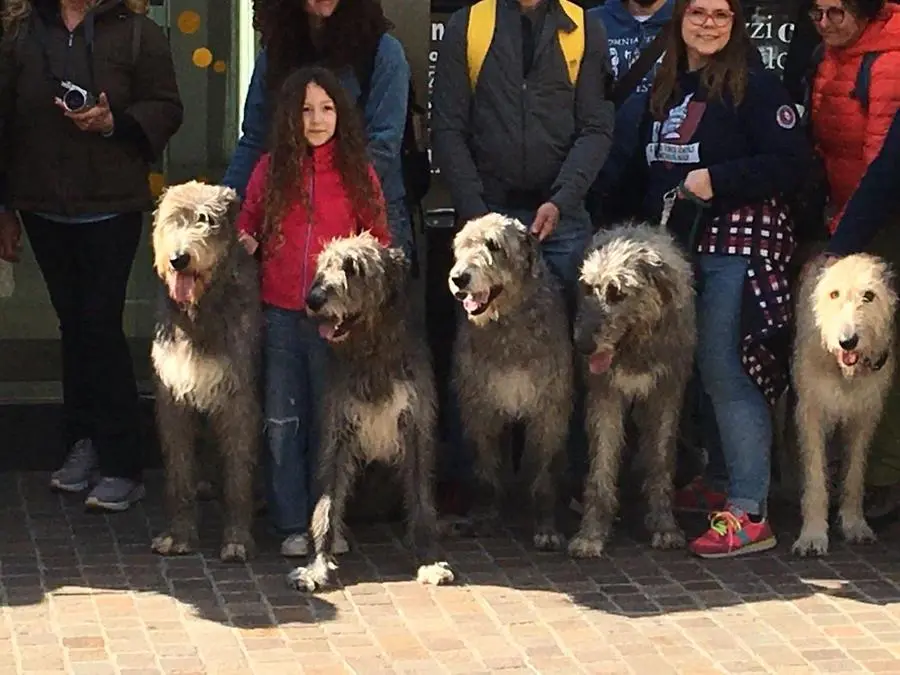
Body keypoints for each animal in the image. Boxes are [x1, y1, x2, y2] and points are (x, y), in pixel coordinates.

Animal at [148, 181, 260, 564]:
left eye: (205, 220)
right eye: (172, 220)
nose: (179, 259)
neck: (199, 313)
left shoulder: (239, 399)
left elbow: (239, 474)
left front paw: (237, 539)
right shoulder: (172, 398)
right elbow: (179, 470)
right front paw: (178, 535)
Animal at [290, 235, 458, 596]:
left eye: (353, 267)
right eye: (323, 264)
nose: (313, 299)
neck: (373, 352)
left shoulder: (417, 427)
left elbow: (421, 500)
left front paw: (429, 559)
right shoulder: (337, 430)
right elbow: (326, 505)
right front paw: (315, 567)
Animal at [448, 214, 572, 552]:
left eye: (494, 245)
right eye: (461, 245)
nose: (459, 278)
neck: (507, 324)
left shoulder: (549, 409)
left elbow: (544, 469)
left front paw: (546, 526)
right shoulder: (481, 405)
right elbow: (486, 465)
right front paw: (485, 516)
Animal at [568, 223, 696, 560]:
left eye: (617, 293)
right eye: (589, 288)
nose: (582, 346)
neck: (635, 347)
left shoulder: (666, 392)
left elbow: (661, 460)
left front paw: (664, 525)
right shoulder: (605, 395)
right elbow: (602, 462)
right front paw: (591, 533)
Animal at [792, 256, 896, 556]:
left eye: (869, 295)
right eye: (834, 294)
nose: (847, 341)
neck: (844, 371)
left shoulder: (865, 414)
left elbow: (855, 472)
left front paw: (854, 523)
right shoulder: (811, 411)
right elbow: (815, 475)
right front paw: (813, 534)